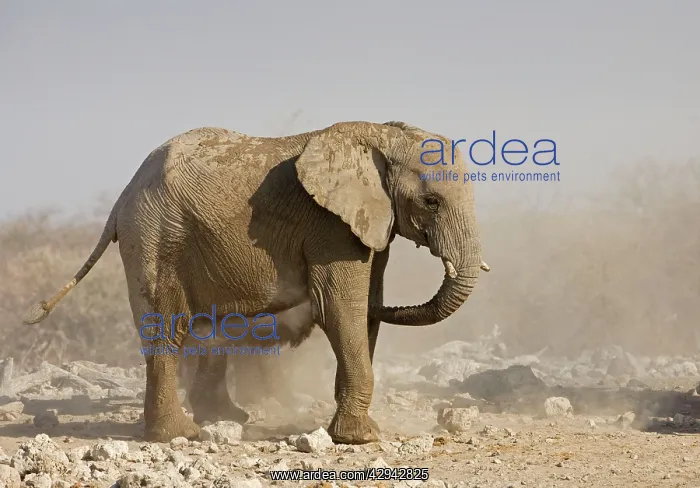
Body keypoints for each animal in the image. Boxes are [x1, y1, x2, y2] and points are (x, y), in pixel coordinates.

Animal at [23, 120, 489, 444]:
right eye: (431, 201)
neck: (381, 135)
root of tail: (122, 195)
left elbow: (363, 312)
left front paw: (353, 430)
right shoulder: (329, 227)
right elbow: (341, 309)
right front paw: (361, 439)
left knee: (209, 330)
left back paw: (226, 419)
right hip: (155, 234)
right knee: (166, 328)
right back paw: (181, 435)